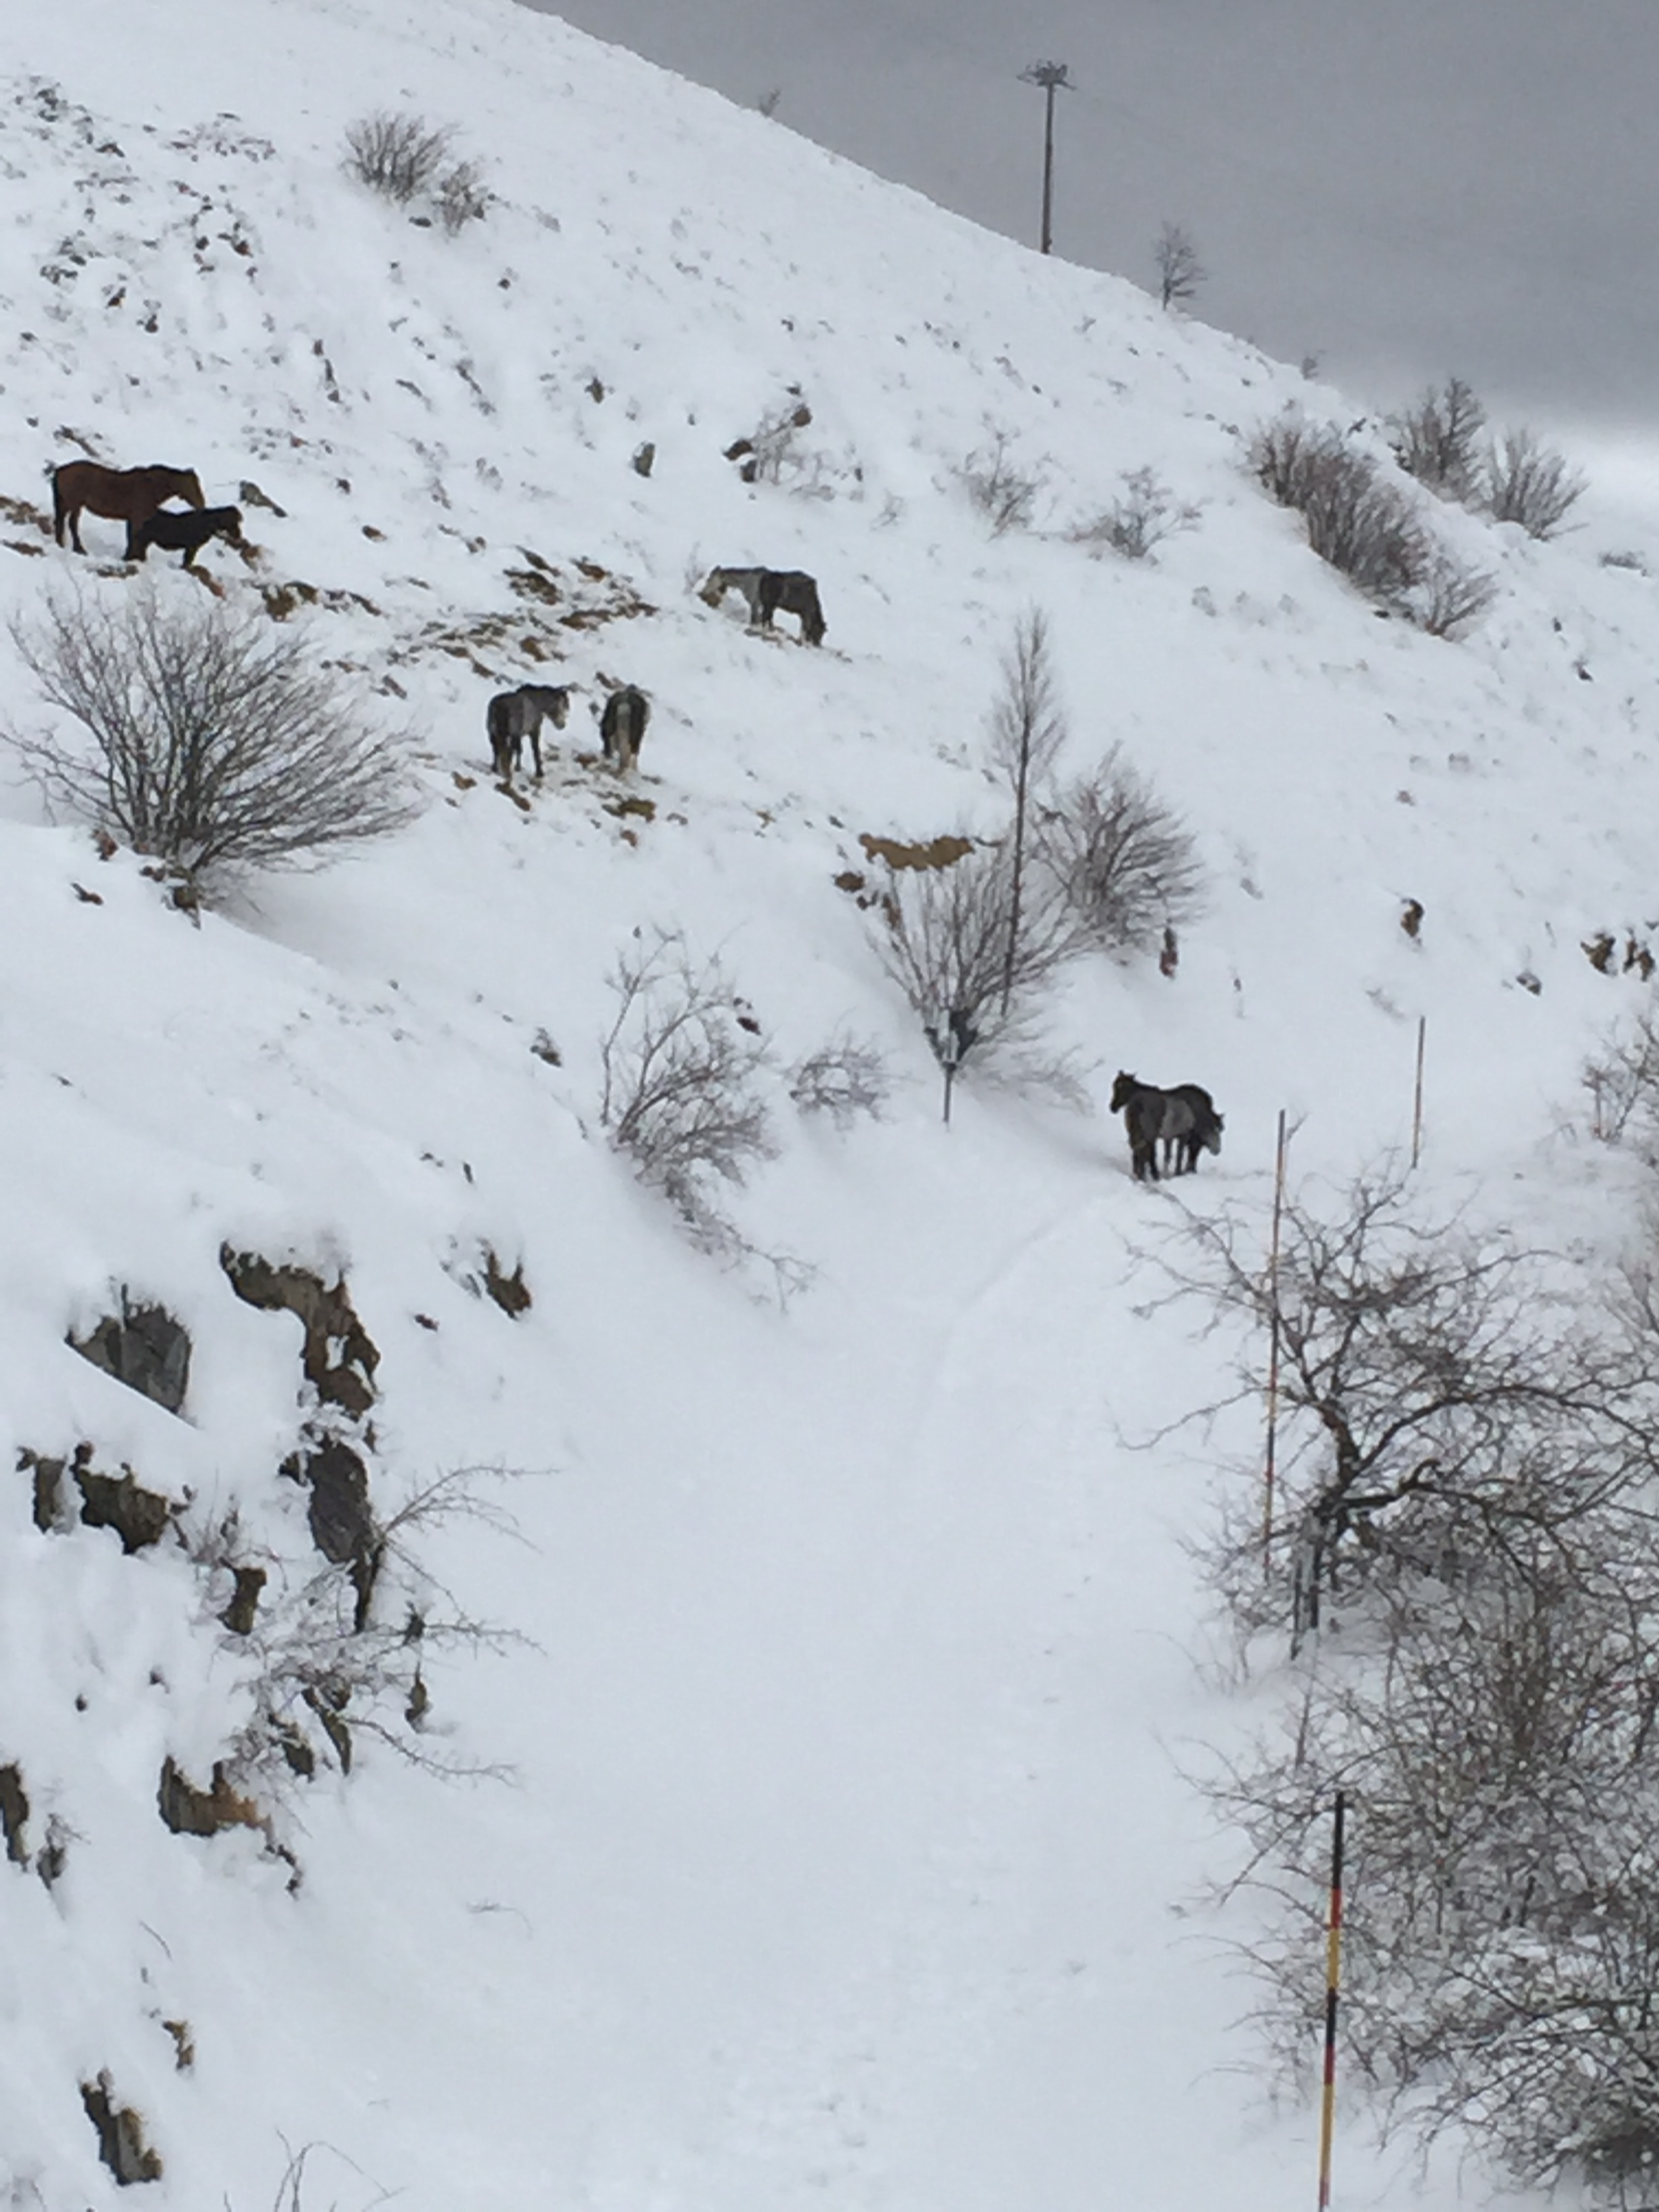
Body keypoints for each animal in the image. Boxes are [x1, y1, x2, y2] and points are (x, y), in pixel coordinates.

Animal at [52, 457, 207, 557]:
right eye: (194, 485)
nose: (202, 504)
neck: (151, 487)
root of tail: (60, 470)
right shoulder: (138, 518)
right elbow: (135, 536)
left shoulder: (132, 518)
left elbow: (131, 537)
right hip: (75, 505)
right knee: (72, 524)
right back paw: (79, 549)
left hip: (65, 504)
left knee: (60, 522)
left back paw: (60, 545)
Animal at [130, 504, 243, 566]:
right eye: (233, 523)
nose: (239, 535)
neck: (208, 524)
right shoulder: (192, 547)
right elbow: (187, 561)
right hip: (142, 540)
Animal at [487, 685, 571, 783]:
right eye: (562, 706)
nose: (562, 725)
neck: (536, 703)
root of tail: (500, 705)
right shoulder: (534, 731)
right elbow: (535, 750)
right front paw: (539, 773)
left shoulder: (519, 735)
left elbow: (519, 749)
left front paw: (518, 768)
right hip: (510, 735)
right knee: (508, 751)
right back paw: (507, 774)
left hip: (493, 733)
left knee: (496, 750)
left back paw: (496, 769)